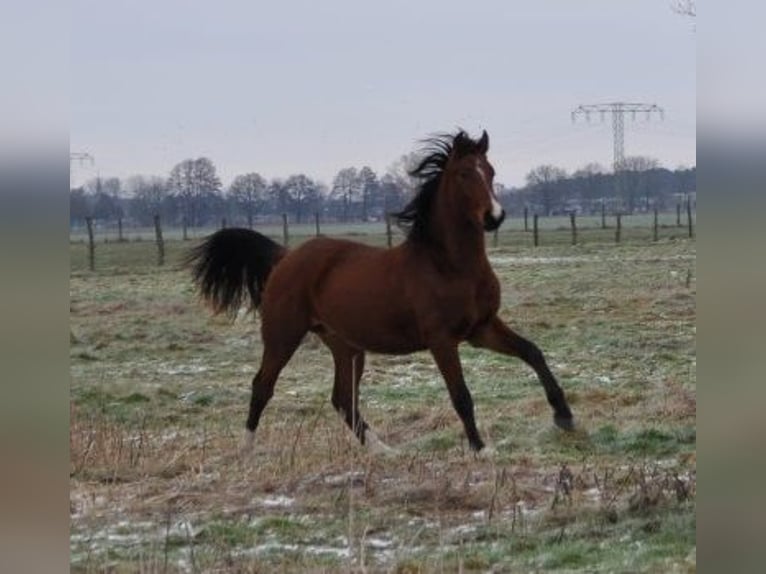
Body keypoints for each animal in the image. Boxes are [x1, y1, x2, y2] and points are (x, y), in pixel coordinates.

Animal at [189, 130, 576, 454]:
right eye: (465, 174)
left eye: (491, 171)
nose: (494, 216)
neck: (448, 266)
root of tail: (285, 256)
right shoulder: (442, 339)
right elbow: (461, 395)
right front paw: (481, 449)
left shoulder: (481, 329)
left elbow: (533, 352)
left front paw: (565, 417)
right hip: (283, 334)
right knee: (262, 386)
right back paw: (247, 450)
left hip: (345, 345)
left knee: (342, 398)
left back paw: (383, 451)